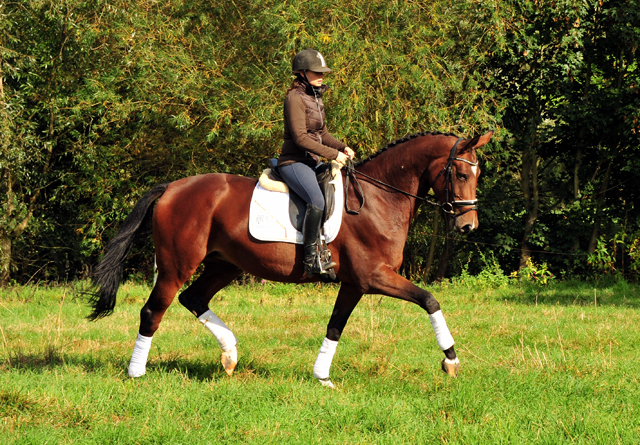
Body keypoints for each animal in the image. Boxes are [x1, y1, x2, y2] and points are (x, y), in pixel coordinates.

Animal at [87, 130, 492, 386]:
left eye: (477, 174)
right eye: (459, 173)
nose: (468, 226)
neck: (379, 199)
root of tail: (172, 187)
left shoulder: (354, 283)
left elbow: (335, 326)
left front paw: (322, 377)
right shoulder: (374, 276)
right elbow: (429, 300)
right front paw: (450, 360)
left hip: (224, 264)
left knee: (194, 298)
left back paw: (230, 355)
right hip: (176, 265)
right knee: (153, 311)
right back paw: (137, 373)